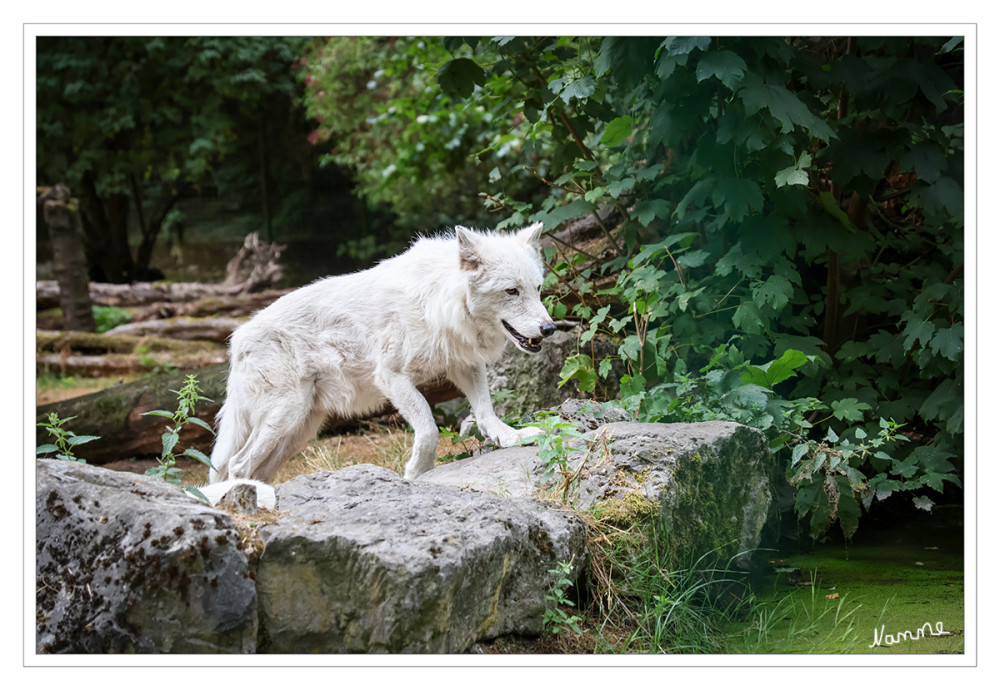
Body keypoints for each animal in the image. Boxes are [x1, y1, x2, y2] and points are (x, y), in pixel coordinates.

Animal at [208, 223, 556, 485]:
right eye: (511, 291)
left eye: (537, 289)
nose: (550, 328)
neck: (438, 301)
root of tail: (237, 340)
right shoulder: (392, 378)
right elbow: (428, 429)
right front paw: (416, 473)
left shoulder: (465, 365)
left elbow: (485, 413)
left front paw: (511, 437)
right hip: (285, 415)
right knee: (238, 464)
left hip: (299, 429)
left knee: (255, 469)